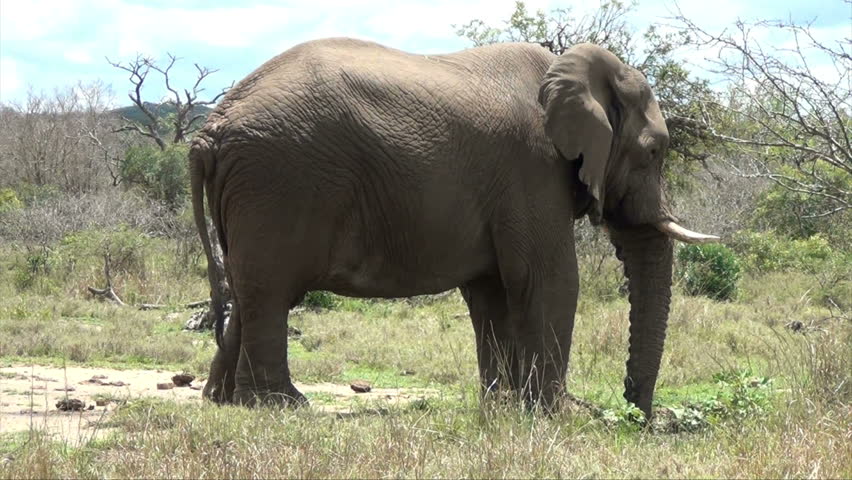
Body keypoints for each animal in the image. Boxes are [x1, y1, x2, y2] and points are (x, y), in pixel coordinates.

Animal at [191, 38, 718, 418]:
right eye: (654, 151)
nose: (636, 410)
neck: (568, 69)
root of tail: (208, 132)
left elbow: (492, 292)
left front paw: (504, 408)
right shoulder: (532, 168)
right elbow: (550, 280)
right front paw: (555, 415)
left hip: (255, 190)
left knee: (249, 288)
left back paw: (223, 400)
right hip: (278, 181)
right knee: (271, 289)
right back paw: (283, 406)